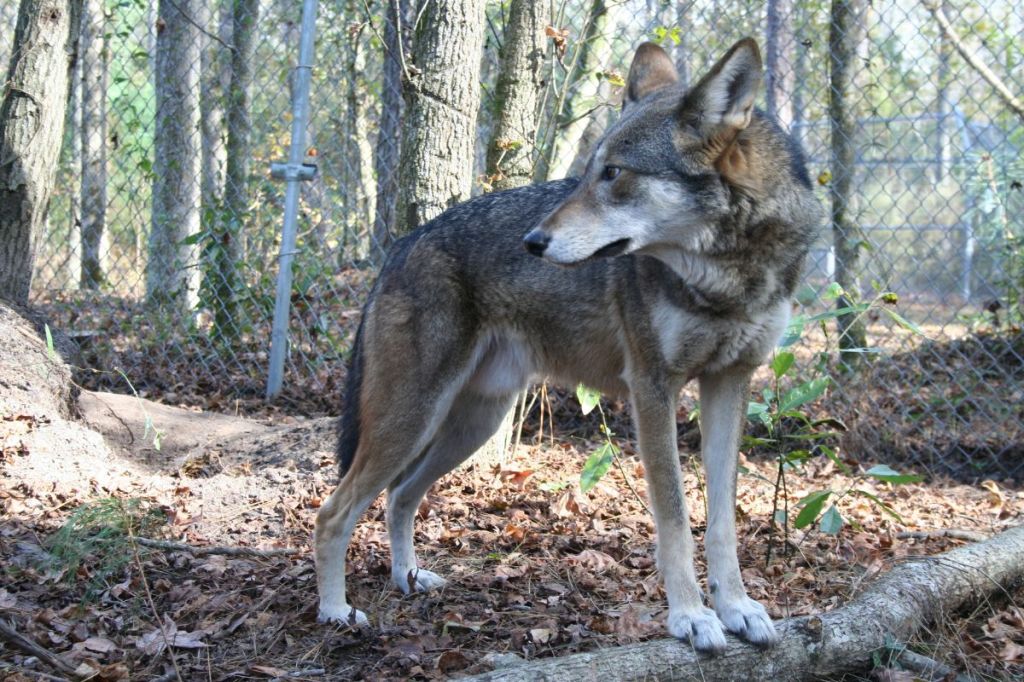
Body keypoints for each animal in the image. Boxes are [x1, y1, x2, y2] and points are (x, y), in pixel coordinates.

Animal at [314, 38, 820, 652]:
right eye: (586, 175)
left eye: (614, 173)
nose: (532, 241)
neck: (727, 277)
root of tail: (399, 246)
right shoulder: (652, 389)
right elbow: (675, 519)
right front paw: (691, 617)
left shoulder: (730, 382)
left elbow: (722, 521)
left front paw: (738, 609)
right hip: (412, 419)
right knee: (333, 512)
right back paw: (336, 612)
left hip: (471, 425)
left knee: (399, 497)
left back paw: (408, 579)